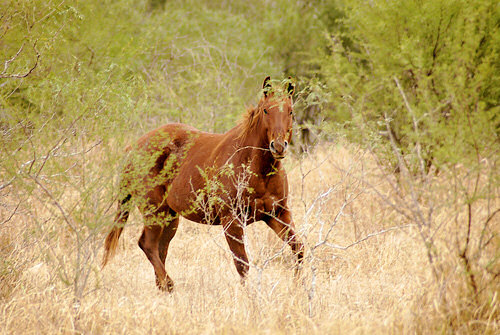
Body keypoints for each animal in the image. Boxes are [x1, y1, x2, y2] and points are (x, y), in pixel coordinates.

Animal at [103, 77, 302, 292]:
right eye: (266, 110)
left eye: (290, 111)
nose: (279, 146)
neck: (258, 168)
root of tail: (134, 148)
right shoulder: (231, 220)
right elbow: (242, 263)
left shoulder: (278, 213)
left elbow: (298, 248)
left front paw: (297, 286)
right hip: (155, 212)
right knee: (147, 245)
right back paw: (169, 285)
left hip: (170, 217)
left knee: (160, 249)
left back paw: (163, 288)